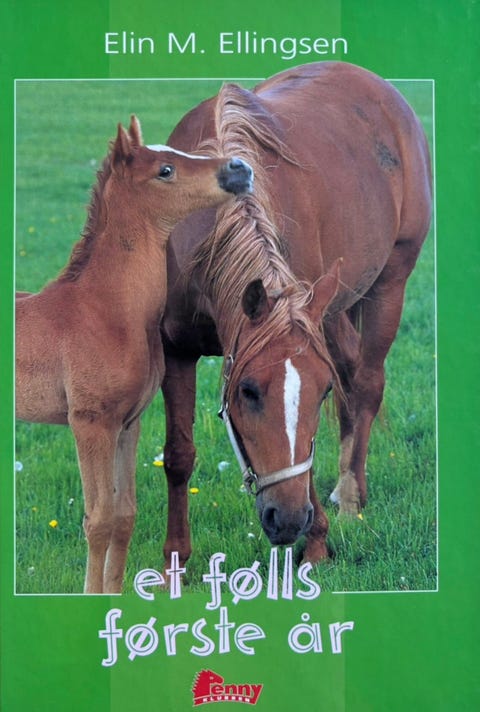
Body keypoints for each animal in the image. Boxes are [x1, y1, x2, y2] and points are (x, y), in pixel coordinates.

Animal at [15, 115, 253, 593]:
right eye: (165, 170)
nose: (239, 169)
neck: (103, 310)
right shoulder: (90, 423)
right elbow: (98, 520)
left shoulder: (128, 423)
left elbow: (124, 515)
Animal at [160, 61, 432, 569]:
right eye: (247, 391)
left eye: (317, 392)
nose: (287, 520)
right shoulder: (175, 349)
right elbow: (179, 454)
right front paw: (175, 562)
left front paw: (318, 543)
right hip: (332, 306)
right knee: (352, 377)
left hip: (390, 284)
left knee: (366, 383)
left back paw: (350, 499)